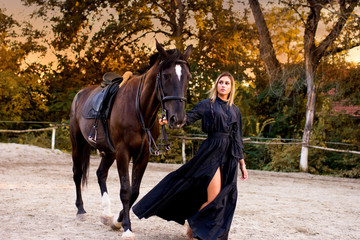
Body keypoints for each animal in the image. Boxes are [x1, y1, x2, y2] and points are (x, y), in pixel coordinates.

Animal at [70, 40, 194, 239]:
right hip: (79, 143)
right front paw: (127, 228)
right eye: (166, 76)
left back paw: (106, 214)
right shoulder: (123, 151)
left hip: (109, 151)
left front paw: (117, 221)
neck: (140, 109)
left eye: (188, 77)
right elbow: (126, 190)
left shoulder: (143, 155)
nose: (178, 118)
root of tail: (81, 93)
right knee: (77, 173)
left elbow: (134, 192)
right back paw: (80, 210)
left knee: (101, 173)